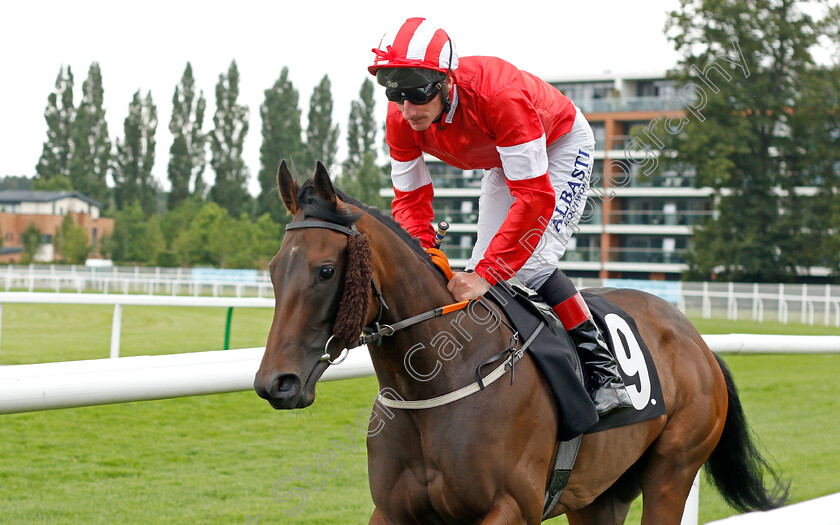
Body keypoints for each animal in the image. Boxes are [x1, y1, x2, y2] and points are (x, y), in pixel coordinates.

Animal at [256, 162, 788, 520]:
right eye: (274, 269)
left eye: (326, 271)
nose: (275, 383)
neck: (437, 382)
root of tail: (696, 340)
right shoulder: (392, 511)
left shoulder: (510, 507)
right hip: (600, 494)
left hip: (673, 469)